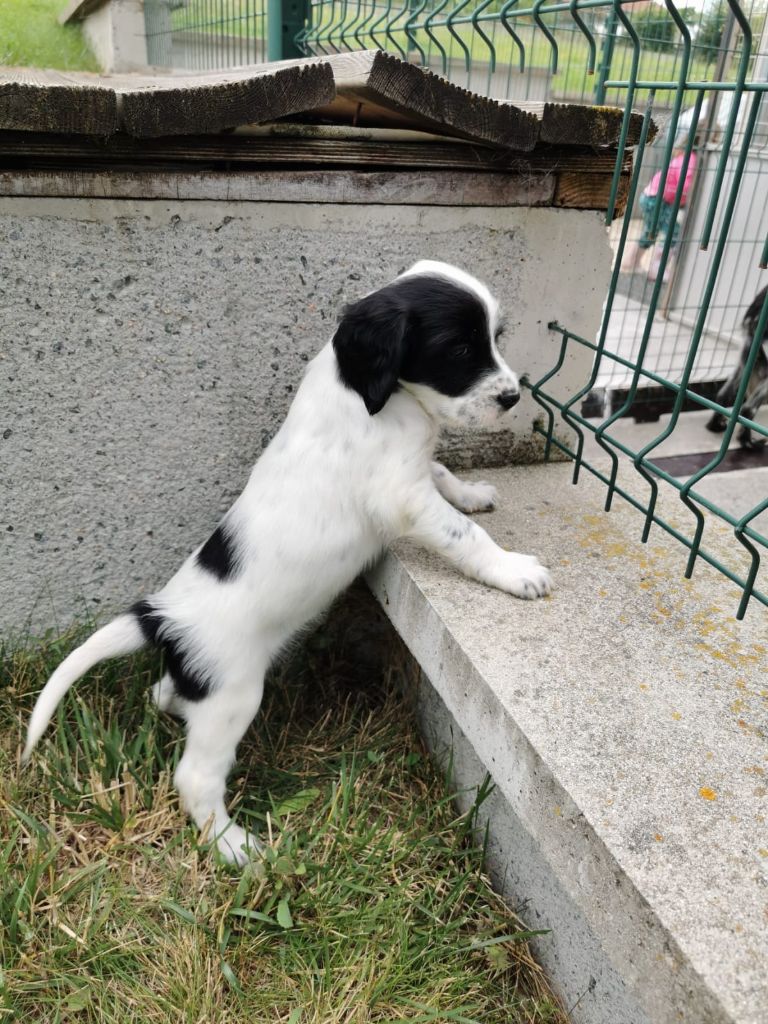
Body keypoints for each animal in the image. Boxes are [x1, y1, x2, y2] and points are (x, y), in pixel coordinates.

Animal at [24, 258, 552, 864]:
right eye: (460, 349)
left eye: (494, 339)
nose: (512, 397)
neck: (366, 393)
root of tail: (161, 618)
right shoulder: (403, 497)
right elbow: (466, 536)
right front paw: (516, 571)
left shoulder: (417, 473)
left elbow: (444, 474)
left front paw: (474, 492)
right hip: (233, 695)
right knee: (195, 778)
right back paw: (236, 848)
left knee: (165, 694)